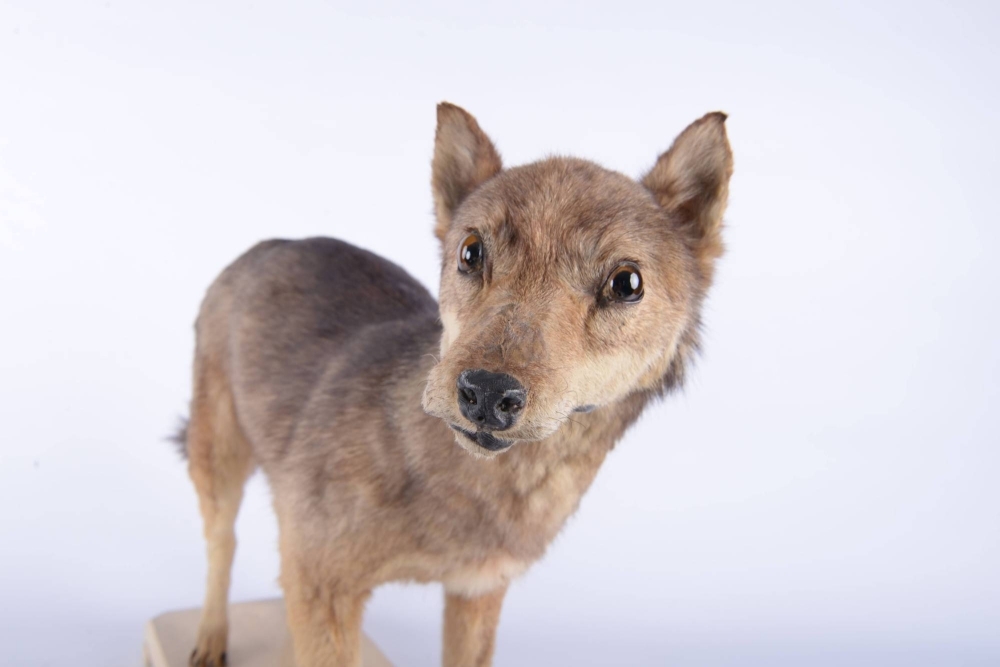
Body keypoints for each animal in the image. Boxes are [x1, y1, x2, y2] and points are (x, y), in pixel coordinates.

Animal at [176, 102, 732, 664]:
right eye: (471, 252)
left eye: (626, 283)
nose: (485, 392)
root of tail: (272, 243)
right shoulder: (320, 584)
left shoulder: (477, 590)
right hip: (216, 461)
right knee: (221, 547)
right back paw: (209, 639)